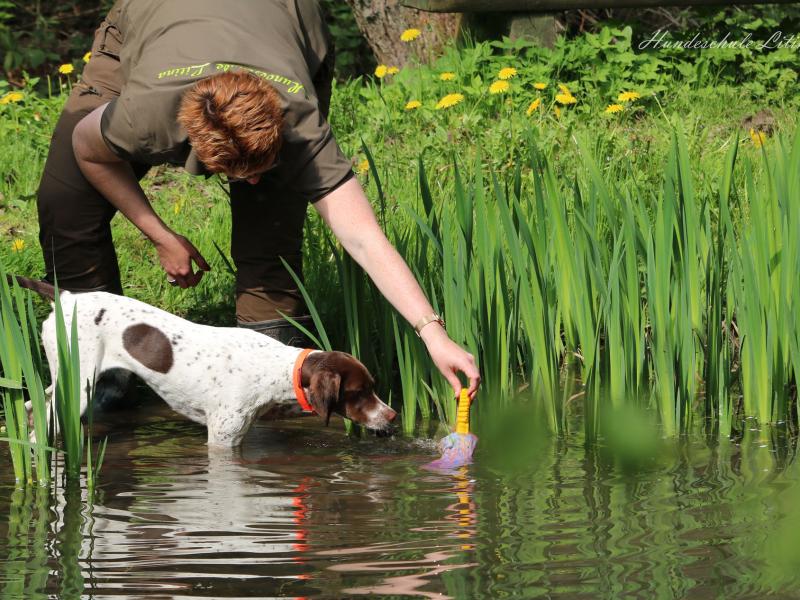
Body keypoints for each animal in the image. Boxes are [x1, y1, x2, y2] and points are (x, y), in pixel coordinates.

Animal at [12, 276, 396, 446]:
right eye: (359, 393)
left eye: (373, 387)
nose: (392, 415)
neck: (275, 368)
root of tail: (64, 296)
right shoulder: (221, 440)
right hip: (77, 388)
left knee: (33, 404)